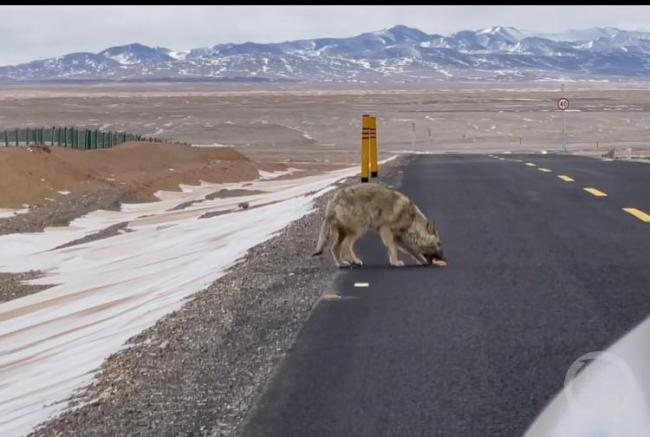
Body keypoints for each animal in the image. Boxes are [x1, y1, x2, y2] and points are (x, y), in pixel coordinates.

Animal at [310, 183, 446, 268]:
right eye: (439, 243)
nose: (444, 258)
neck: (412, 220)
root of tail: (334, 199)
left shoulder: (401, 240)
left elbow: (414, 253)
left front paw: (421, 261)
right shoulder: (386, 230)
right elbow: (393, 249)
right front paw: (395, 262)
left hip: (344, 233)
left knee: (334, 248)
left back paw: (342, 263)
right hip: (359, 230)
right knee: (346, 246)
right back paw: (355, 261)